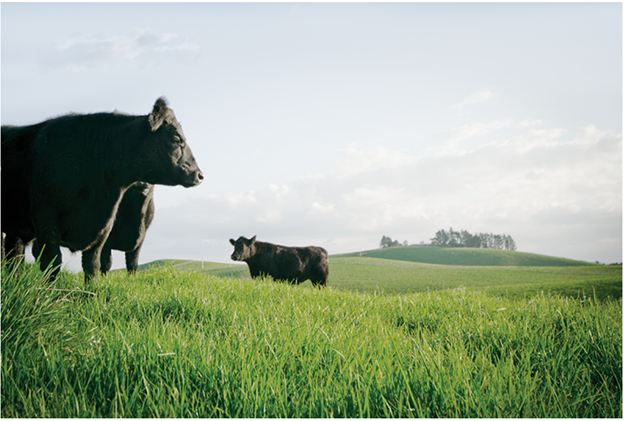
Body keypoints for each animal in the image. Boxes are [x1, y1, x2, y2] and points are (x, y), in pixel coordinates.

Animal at [1, 97, 202, 282]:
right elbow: (52, 262)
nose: (199, 175)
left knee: (14, 254)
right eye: (176, 139)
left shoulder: (104, 229)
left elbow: (94, 266)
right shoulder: (46, 220)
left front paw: (90, 295)